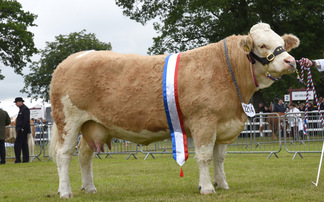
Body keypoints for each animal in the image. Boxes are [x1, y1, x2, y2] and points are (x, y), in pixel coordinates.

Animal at [48, 22, 298, 198]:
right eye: (262, 45)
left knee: (84, 155)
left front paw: (222, 184)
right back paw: (65, 191)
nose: (291, 61)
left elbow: (219, 158)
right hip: (68, 121)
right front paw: (207, 187)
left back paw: (89, 188)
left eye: (282, 43)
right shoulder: (204, 120)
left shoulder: (223, 124)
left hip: (92, 125)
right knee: (64, 155)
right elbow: (205, 157)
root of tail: (70, 59)